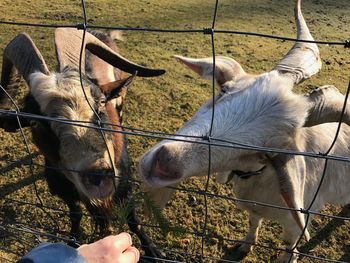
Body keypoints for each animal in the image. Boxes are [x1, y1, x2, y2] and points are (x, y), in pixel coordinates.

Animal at [138, 1, 350, 262]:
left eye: (267, 153)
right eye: (224, 89)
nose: (162, 163)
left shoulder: (298, 223)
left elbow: (289, 248)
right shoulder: (253, 208)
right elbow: (253, 222)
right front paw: (245, 245)